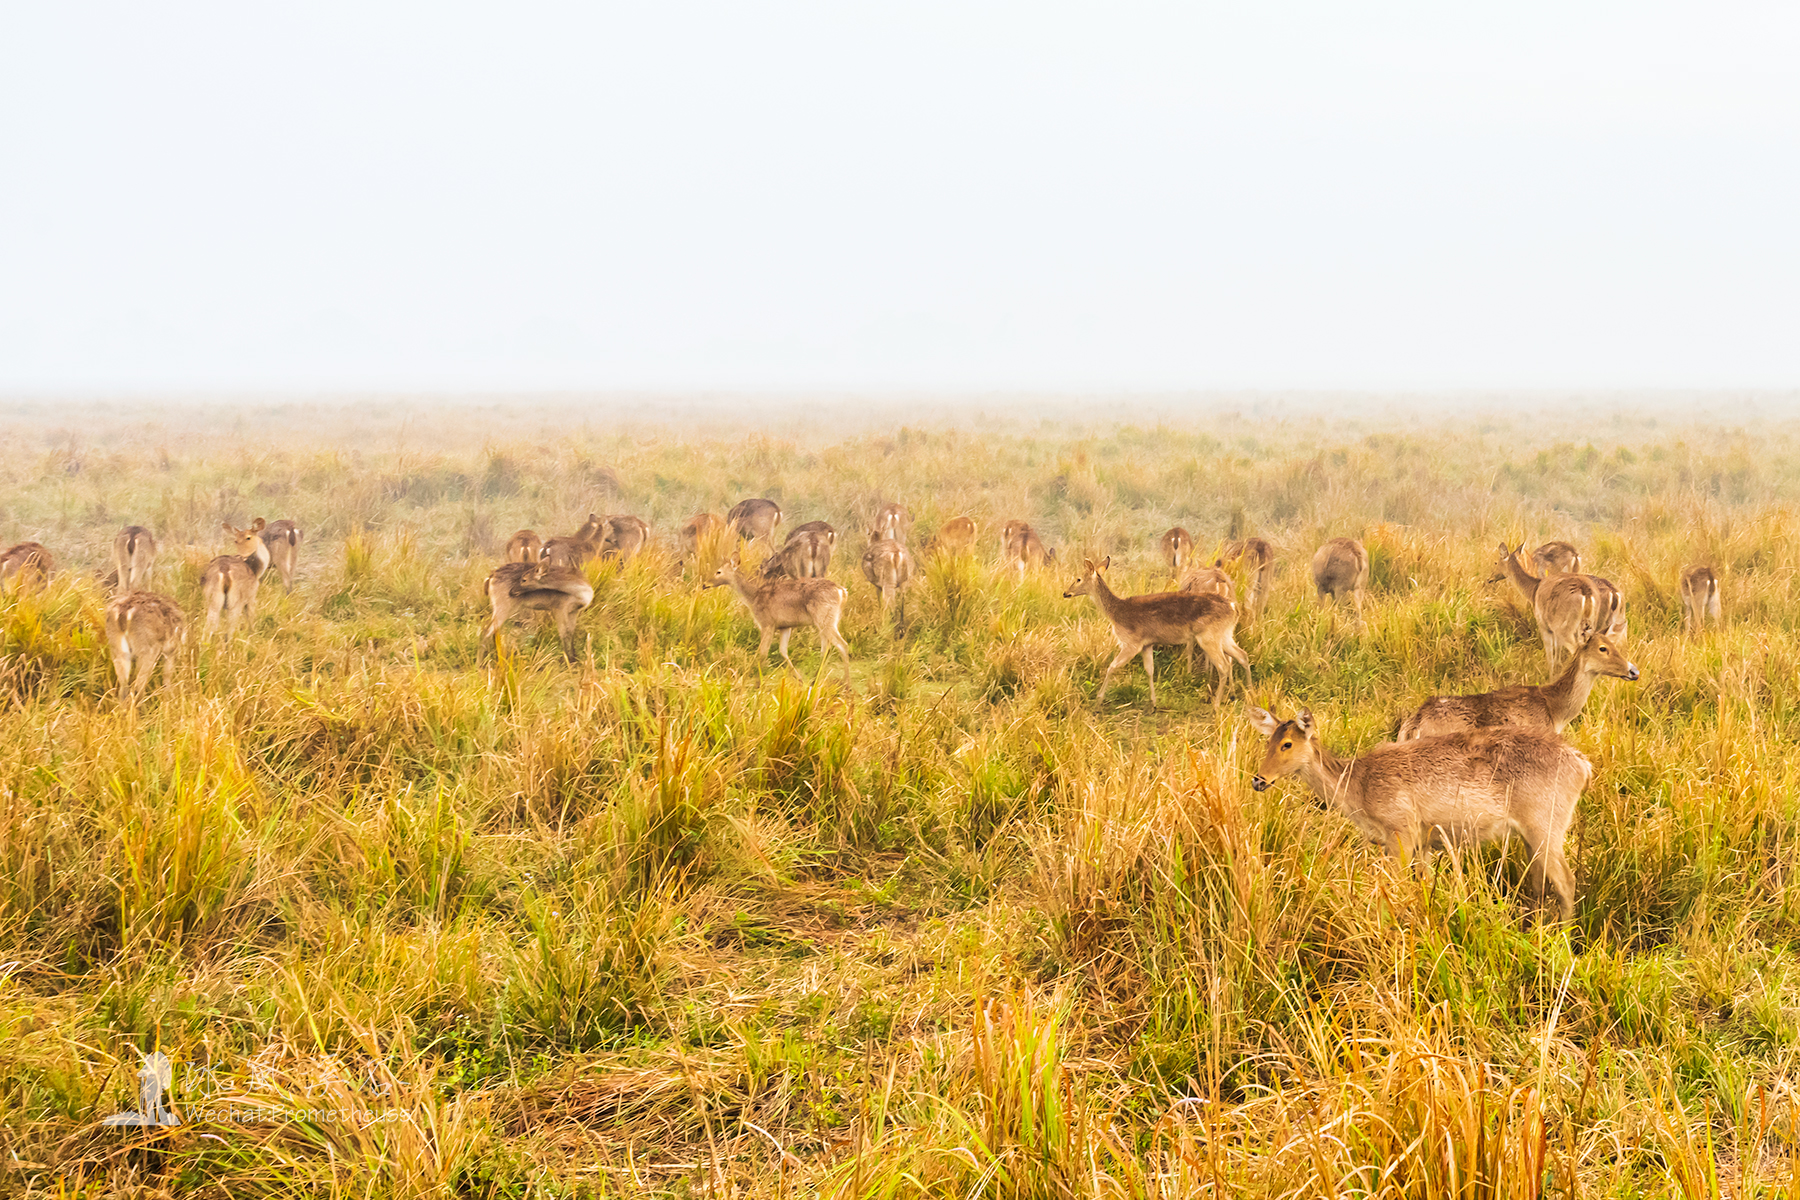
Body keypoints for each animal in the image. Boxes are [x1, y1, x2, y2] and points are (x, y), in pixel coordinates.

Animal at [702, 557, 849, 680]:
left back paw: (846, 684)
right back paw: (816, 680)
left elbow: (762, 652)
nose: (704, 584)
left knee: (842, 645)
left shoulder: (767, 623)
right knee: (826, 648)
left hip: (825, 618)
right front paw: (799, 679)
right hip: (828, 620)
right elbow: (783, 651)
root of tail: (842, 591)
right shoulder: (785, 626)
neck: (753, 598)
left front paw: (759, 681)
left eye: (718, 571)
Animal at [1058, 557, 1245, 708]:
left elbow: (1112, 667)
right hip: (1224, 635)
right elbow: (1150, 670)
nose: (1065, 593)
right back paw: (1241, 694)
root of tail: (1233, 608)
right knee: (1240, 655)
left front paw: (1098, 700)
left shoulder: (1131, 643)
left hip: (1209, 637)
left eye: (1078, 578)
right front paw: (1153, 703)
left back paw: (1217, 704)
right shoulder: (1147, 644)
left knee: (1224, 664)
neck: (1116, 612)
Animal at [1252, 705, 1591, 921]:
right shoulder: (1424, 842)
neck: (1358, 789)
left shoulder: (1400, 831)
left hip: (1546, 825)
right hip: (1531, 835)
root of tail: (1583, 765)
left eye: (1287, 744)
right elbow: (1423, 888)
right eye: (1267, 740)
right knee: (1540, 883)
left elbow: (1395, 888)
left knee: (1567, 882)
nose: (1258, 779)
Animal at [1483, 546, 1627, 672]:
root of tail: (1615, 595)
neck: (1534, 589)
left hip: (1570, 628)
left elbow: (1551, 658)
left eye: (1496, 562)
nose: (1489, 579)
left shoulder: (1545, 626)